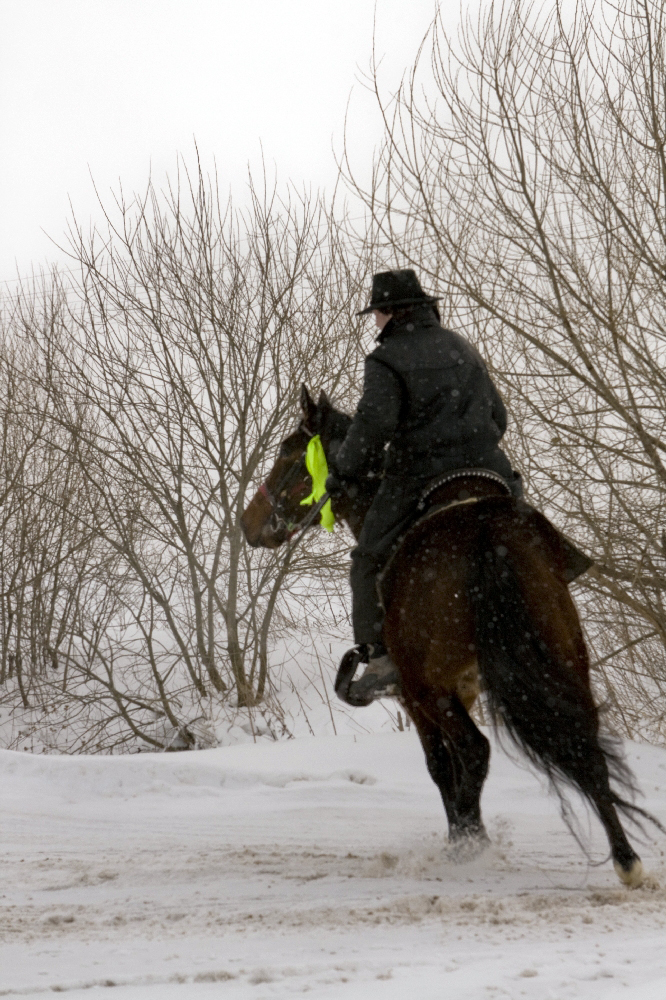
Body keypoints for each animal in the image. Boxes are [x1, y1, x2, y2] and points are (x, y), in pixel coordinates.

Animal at [241, 386, 656, 888]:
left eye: (288, 454)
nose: (247, 522)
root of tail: (485, 532)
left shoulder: (417, 695)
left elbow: (442, 766)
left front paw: (465, 836)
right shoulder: (465, 686)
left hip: (428, 685)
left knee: (475, 750)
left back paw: (470, 845)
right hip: (563, 658)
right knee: (583, 743)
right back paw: (626, 859)